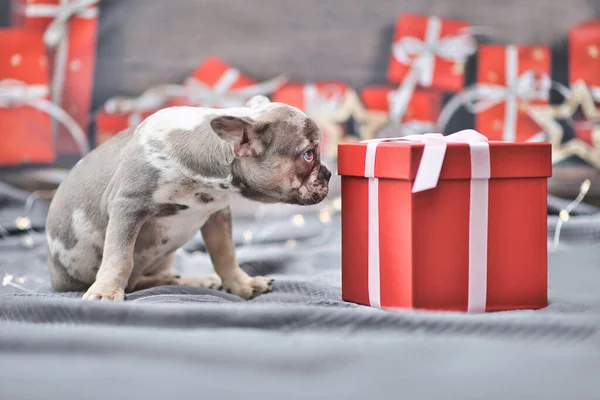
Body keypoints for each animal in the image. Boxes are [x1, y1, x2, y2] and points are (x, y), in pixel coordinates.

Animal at [44, 96, 330, 300]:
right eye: (308, 155)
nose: (328, 174)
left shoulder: (216, 214)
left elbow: (225, 253)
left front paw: (240, 283)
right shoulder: (127, 206)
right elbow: (119, 258)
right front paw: (106, 291)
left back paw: (193, 280)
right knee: (134, 277)